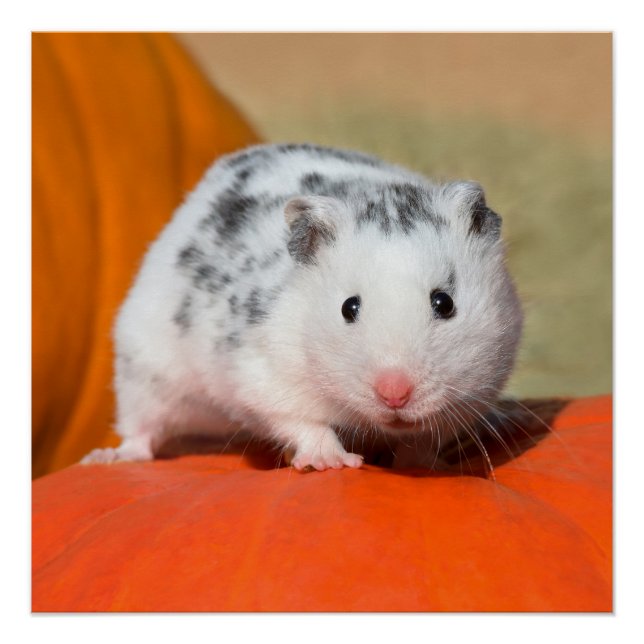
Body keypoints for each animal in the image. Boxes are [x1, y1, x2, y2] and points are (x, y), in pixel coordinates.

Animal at [82, 143, 523, 471]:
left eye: (444, 303)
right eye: (348, 308)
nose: (394, 395)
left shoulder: (479, 388)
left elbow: (426, 442)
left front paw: (422, 465)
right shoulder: (265, 376)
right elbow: (303, 421)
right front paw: (332, 462)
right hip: (144, 370)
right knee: (140, 430)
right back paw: (106, 458)